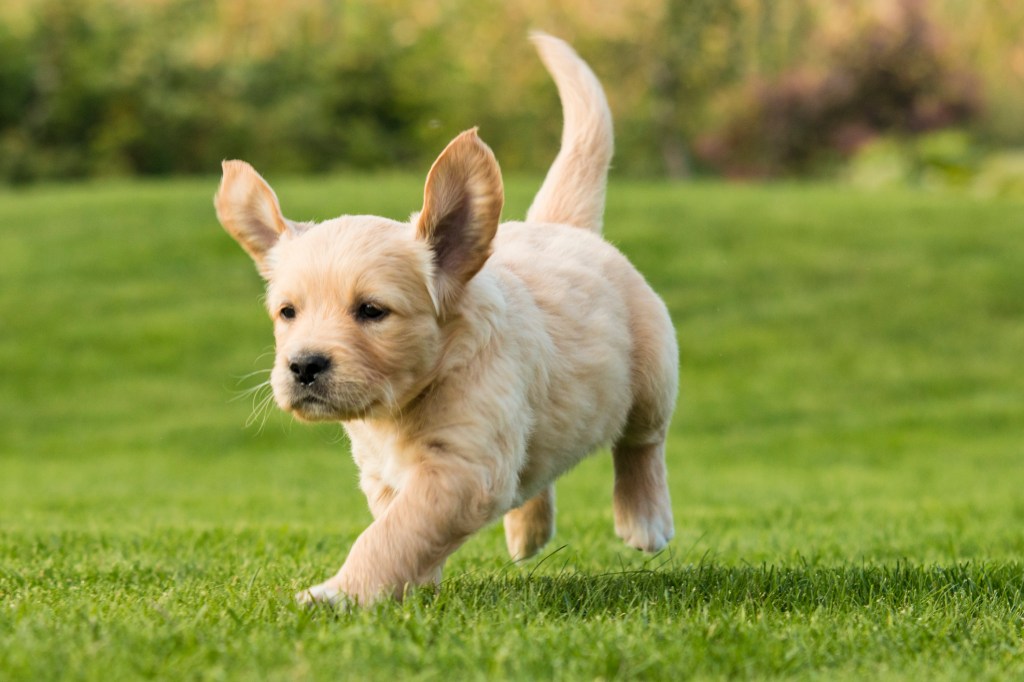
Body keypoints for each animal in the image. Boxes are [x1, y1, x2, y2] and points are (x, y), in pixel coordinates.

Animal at [214, 33, 679, 606]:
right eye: (287, 312)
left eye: (372, 311)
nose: (302, 366)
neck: (403, 404)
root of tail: (562, 226)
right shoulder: (385, 475)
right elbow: (399, 528)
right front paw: (412, 585)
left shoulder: (463, 467)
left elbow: (393, 533)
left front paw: (339, 594)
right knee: (538, 464)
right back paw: (528, 531)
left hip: (653, 371)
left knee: (642, 443)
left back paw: (645, 519)